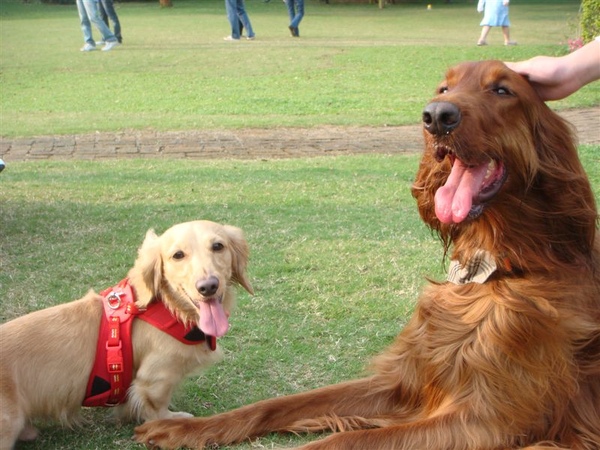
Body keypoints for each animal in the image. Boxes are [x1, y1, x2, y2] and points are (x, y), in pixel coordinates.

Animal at [0, 220, 253, 448]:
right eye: (178, 255)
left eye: (218, 246)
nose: (208, 286)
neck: (169, 308)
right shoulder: (155, 378)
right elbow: (157, 408)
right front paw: (171, 421)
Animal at [136, 60, 600, 450]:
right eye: (444, 87)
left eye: (502, 90)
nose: (437, 116)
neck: (492, 272)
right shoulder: (403, 381)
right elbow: (276, 404)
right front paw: (183, 427)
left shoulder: (489, 420)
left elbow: (340, 441)